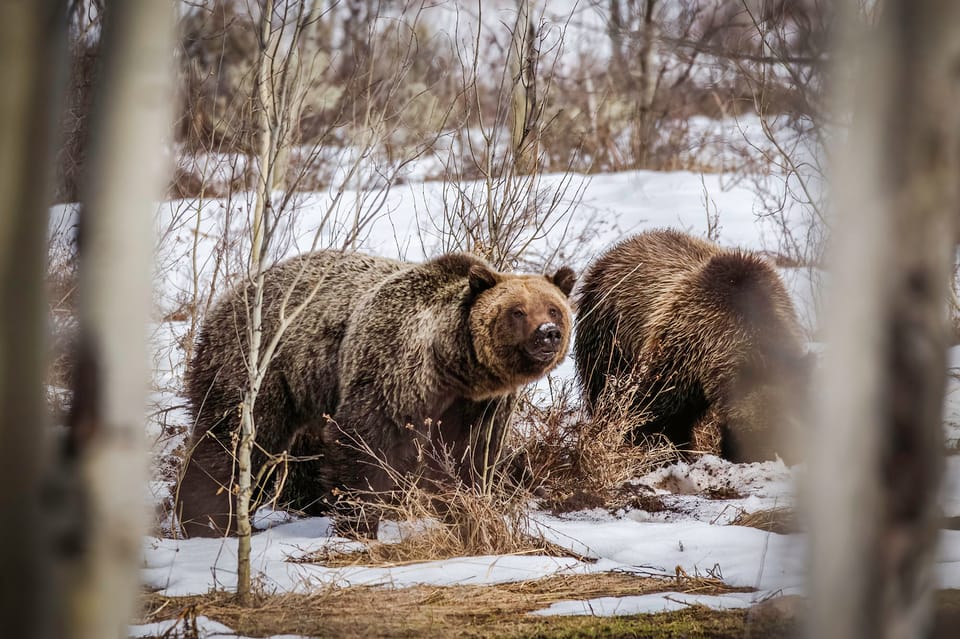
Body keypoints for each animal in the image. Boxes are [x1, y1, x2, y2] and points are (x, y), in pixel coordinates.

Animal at [176, 248, 572, 536]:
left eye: (554, 308)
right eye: (517, 311)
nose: (548, 333)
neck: (453, 366)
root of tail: (227, 295)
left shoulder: (478, 405)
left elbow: (471, 456)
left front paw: (467, 510)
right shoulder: (394, 368)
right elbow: (365, 442)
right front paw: (359, 522)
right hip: (257, 363)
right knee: (236, 438)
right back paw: (208, 519)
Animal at [572, 231, 808, 464]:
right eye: (766, 430)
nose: (777, 457)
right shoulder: (681, 356)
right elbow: (656, 416)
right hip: (608, 335)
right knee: (603, 390)